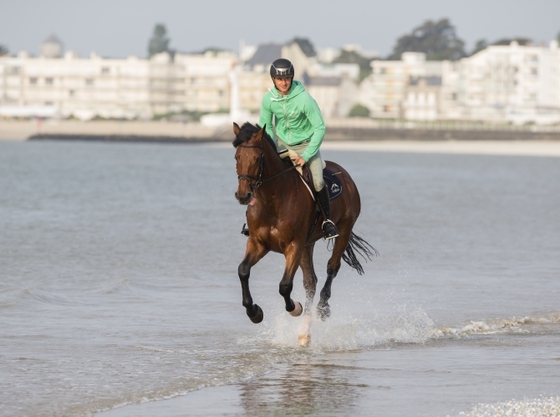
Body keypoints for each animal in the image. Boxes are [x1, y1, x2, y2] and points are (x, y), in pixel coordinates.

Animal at [232, 121, 376, 344]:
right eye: (237, 157)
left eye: (257, 158)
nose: (243, 195)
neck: (272, 198)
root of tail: (345, 175)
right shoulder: (258, 243)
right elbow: (243, 270)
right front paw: (254, 313)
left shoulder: (294, 245)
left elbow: (284, 285)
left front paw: (295, 308)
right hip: (308, 245)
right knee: (310, 282)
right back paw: (305, 331)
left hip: (343, 230)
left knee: (332, 268)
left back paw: (322, 309)